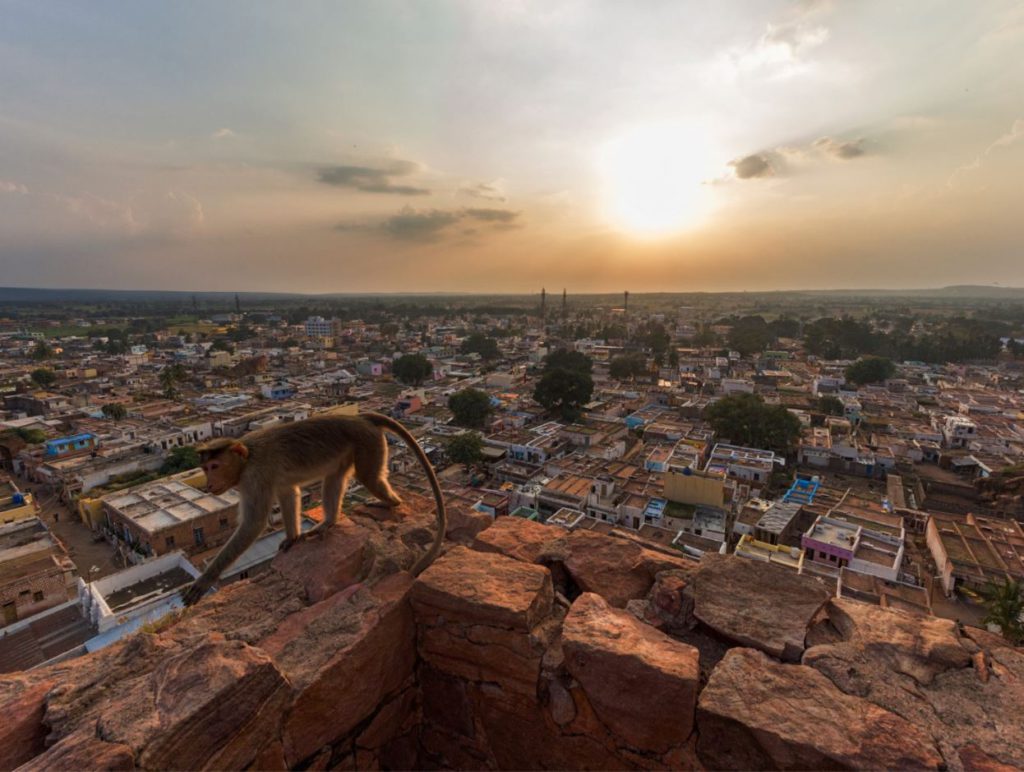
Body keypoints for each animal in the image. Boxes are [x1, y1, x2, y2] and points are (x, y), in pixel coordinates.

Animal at [181, 411, 444, 606]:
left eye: (215, 466)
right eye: (205, 468)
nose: (209, 485)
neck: (247, 457)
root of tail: (361, 418)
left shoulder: (255, 477)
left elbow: (254, 523)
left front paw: (204, 581)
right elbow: (288, 495)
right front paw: (292, 537)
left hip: (368, 443)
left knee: (369, 477)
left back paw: (390, 502)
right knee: (334, 477)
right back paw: (329, 522)